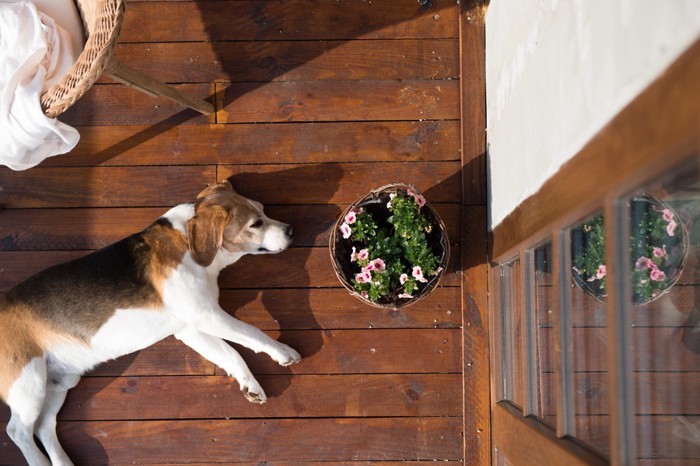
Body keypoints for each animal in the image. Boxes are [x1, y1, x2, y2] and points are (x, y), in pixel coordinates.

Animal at [0, 181, 298, 466]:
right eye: (255, 224)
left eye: (263, 210)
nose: (291, 230)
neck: (186, 241)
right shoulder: (206, 315)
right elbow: (252, 333)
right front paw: (282, 352)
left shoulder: (190, 328)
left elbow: (232, 353)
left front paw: (250, 385)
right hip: (29, 383)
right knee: (18, 431)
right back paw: (38, 460)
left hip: (60, 381)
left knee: (44, 427)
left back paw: (62, 461)